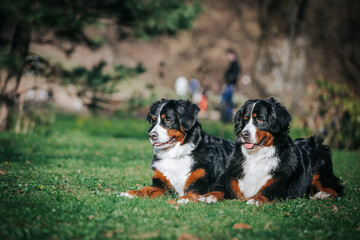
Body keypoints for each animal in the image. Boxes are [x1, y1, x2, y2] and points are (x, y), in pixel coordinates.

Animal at [200, 98, 344, 205]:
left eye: (259, 119)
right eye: (244, 120)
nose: (244, 134)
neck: (257, 156)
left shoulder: (278, 183)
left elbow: (266, 192)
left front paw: (256, 200)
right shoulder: (230, 176)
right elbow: (219, 187)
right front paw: (208, 196)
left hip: (320, 167)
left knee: (336, 185)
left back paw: (323, 194)